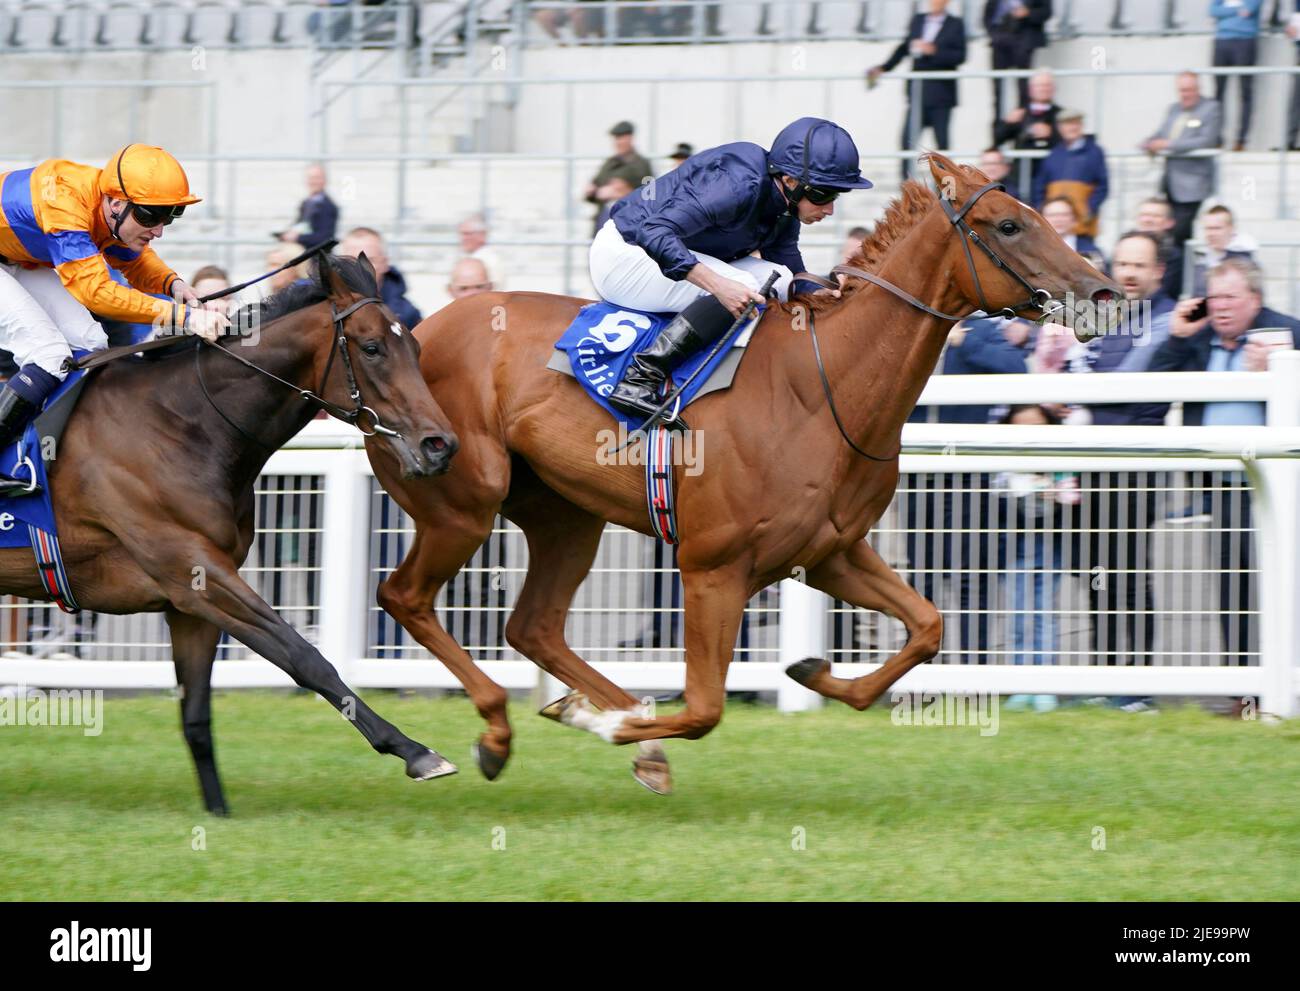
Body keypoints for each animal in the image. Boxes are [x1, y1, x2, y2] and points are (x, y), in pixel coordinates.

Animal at [0, 252, 462, 811]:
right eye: (372, 347)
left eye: (414, 346)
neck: (180, 424)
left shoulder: (189, 603)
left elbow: (196, 714)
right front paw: (415, 752)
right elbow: (305, 657)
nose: (440, 445)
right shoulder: (195, 571)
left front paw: (217, 811)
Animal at [366, 154, 1118, 790]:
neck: (821, 388)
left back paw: (612, 730)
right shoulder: (714, 568)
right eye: (1010, 223)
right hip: (465, 502)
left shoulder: (830, 552)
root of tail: (411, 332)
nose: (1105, 291)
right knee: (406, 596)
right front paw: (604, 722)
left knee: (533, 626)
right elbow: (704, 708)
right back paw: (502, 730)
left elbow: (927, 626)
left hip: (565, 515)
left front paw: (813, 669)